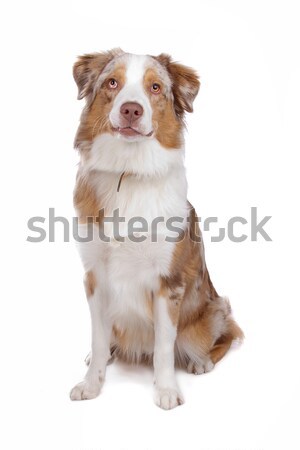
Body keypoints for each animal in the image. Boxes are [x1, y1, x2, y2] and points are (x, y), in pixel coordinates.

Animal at [69, 48, 243, 408]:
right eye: (112, 82)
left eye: (155, 87)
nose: (131, 109)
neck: (129, 172)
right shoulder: (95, 276)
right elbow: (97, 338)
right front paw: (92, 383)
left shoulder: (168, 282)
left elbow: (164, 346)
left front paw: (166, 390)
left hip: (210, 313)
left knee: (228, 333)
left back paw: (201, 361)